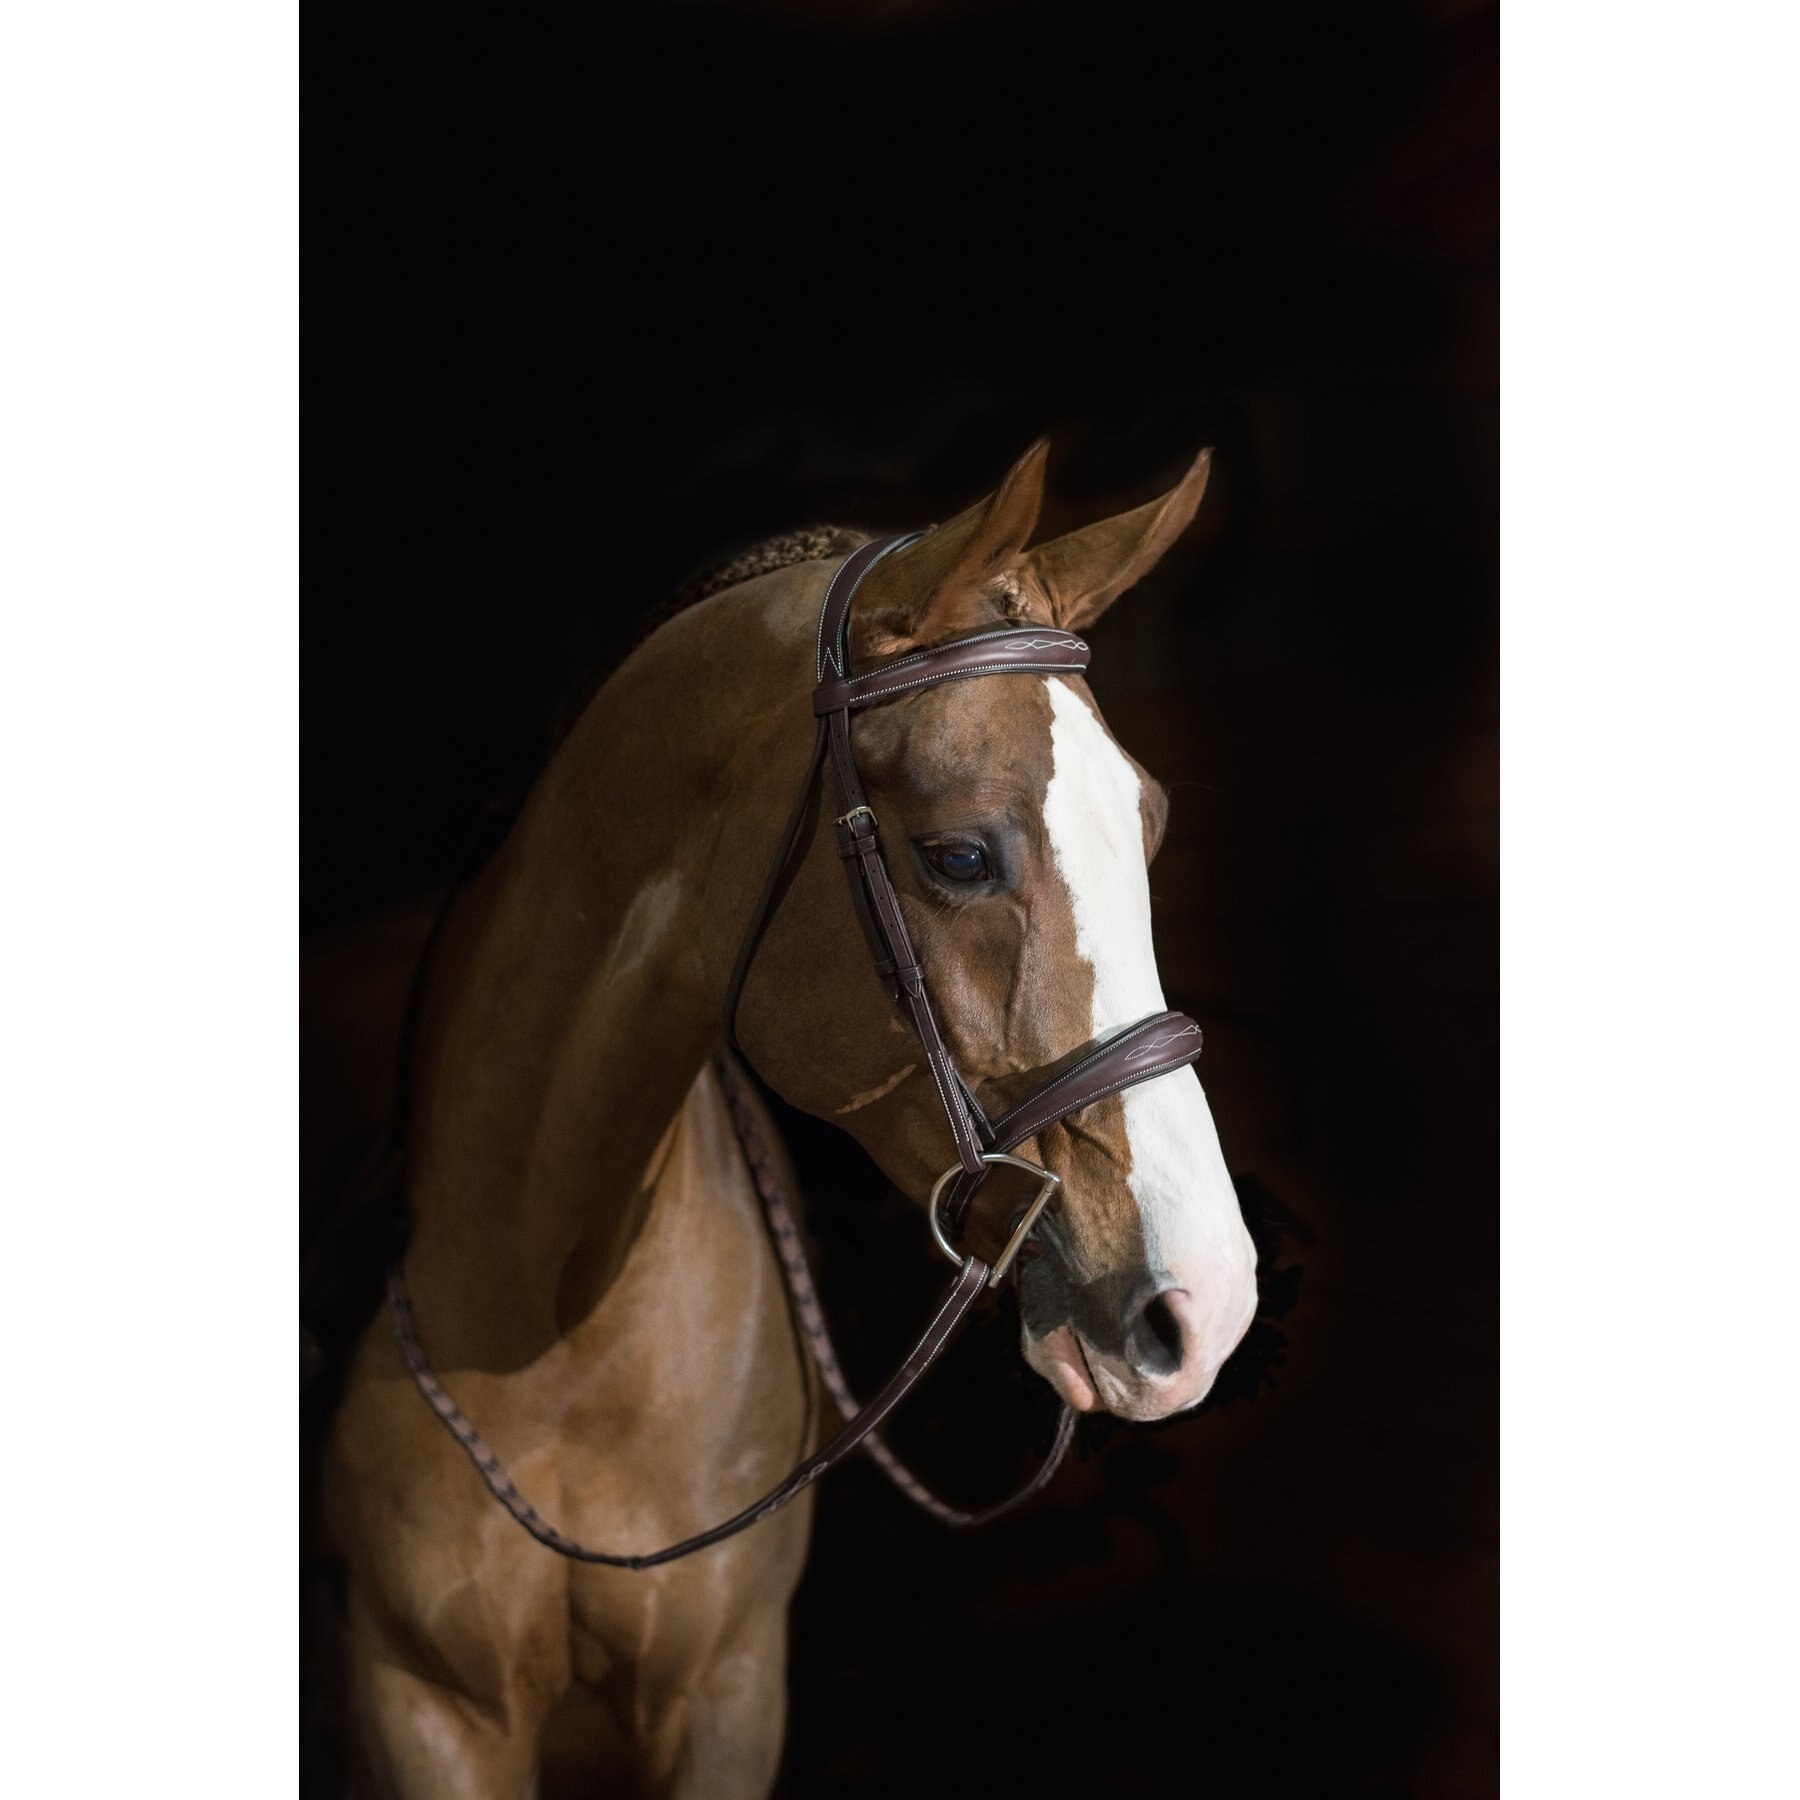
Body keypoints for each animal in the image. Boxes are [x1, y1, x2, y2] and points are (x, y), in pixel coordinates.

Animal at [319, 438, 1260, 1796]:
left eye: (1152, 824)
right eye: (961, 857)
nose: (1207, 1303)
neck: (551, 1325)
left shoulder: (728, 1696)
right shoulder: (422, 1715)